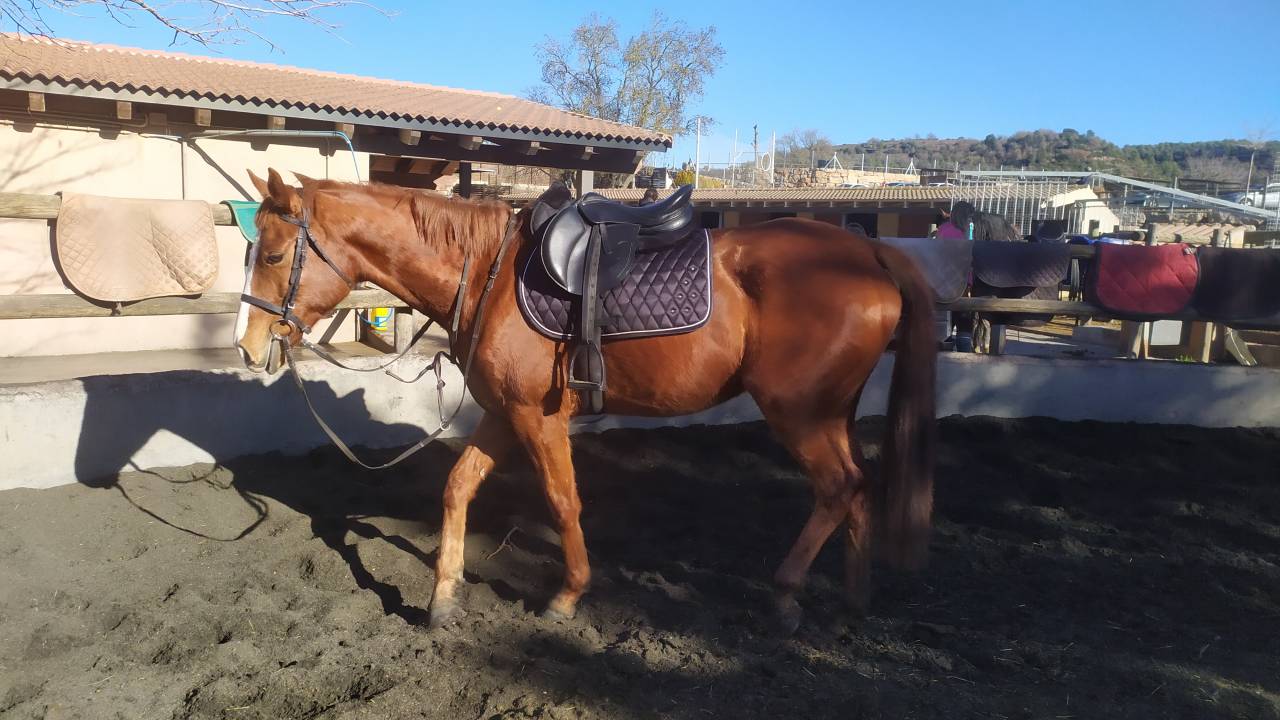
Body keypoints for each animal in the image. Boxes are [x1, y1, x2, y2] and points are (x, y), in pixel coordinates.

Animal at [236, 169, 937, 632]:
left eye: (271, 253)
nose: (247, 347)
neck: (487, 270)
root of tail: (871, 250)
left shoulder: (536, 417)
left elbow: (562, 500)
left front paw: (567, 595)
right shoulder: (503, 414)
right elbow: (458, 486)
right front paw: (443, 596)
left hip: (799, 413)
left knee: (838, 486)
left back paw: (788, 593)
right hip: (831, 412)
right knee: (857, 487)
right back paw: (852, 598)